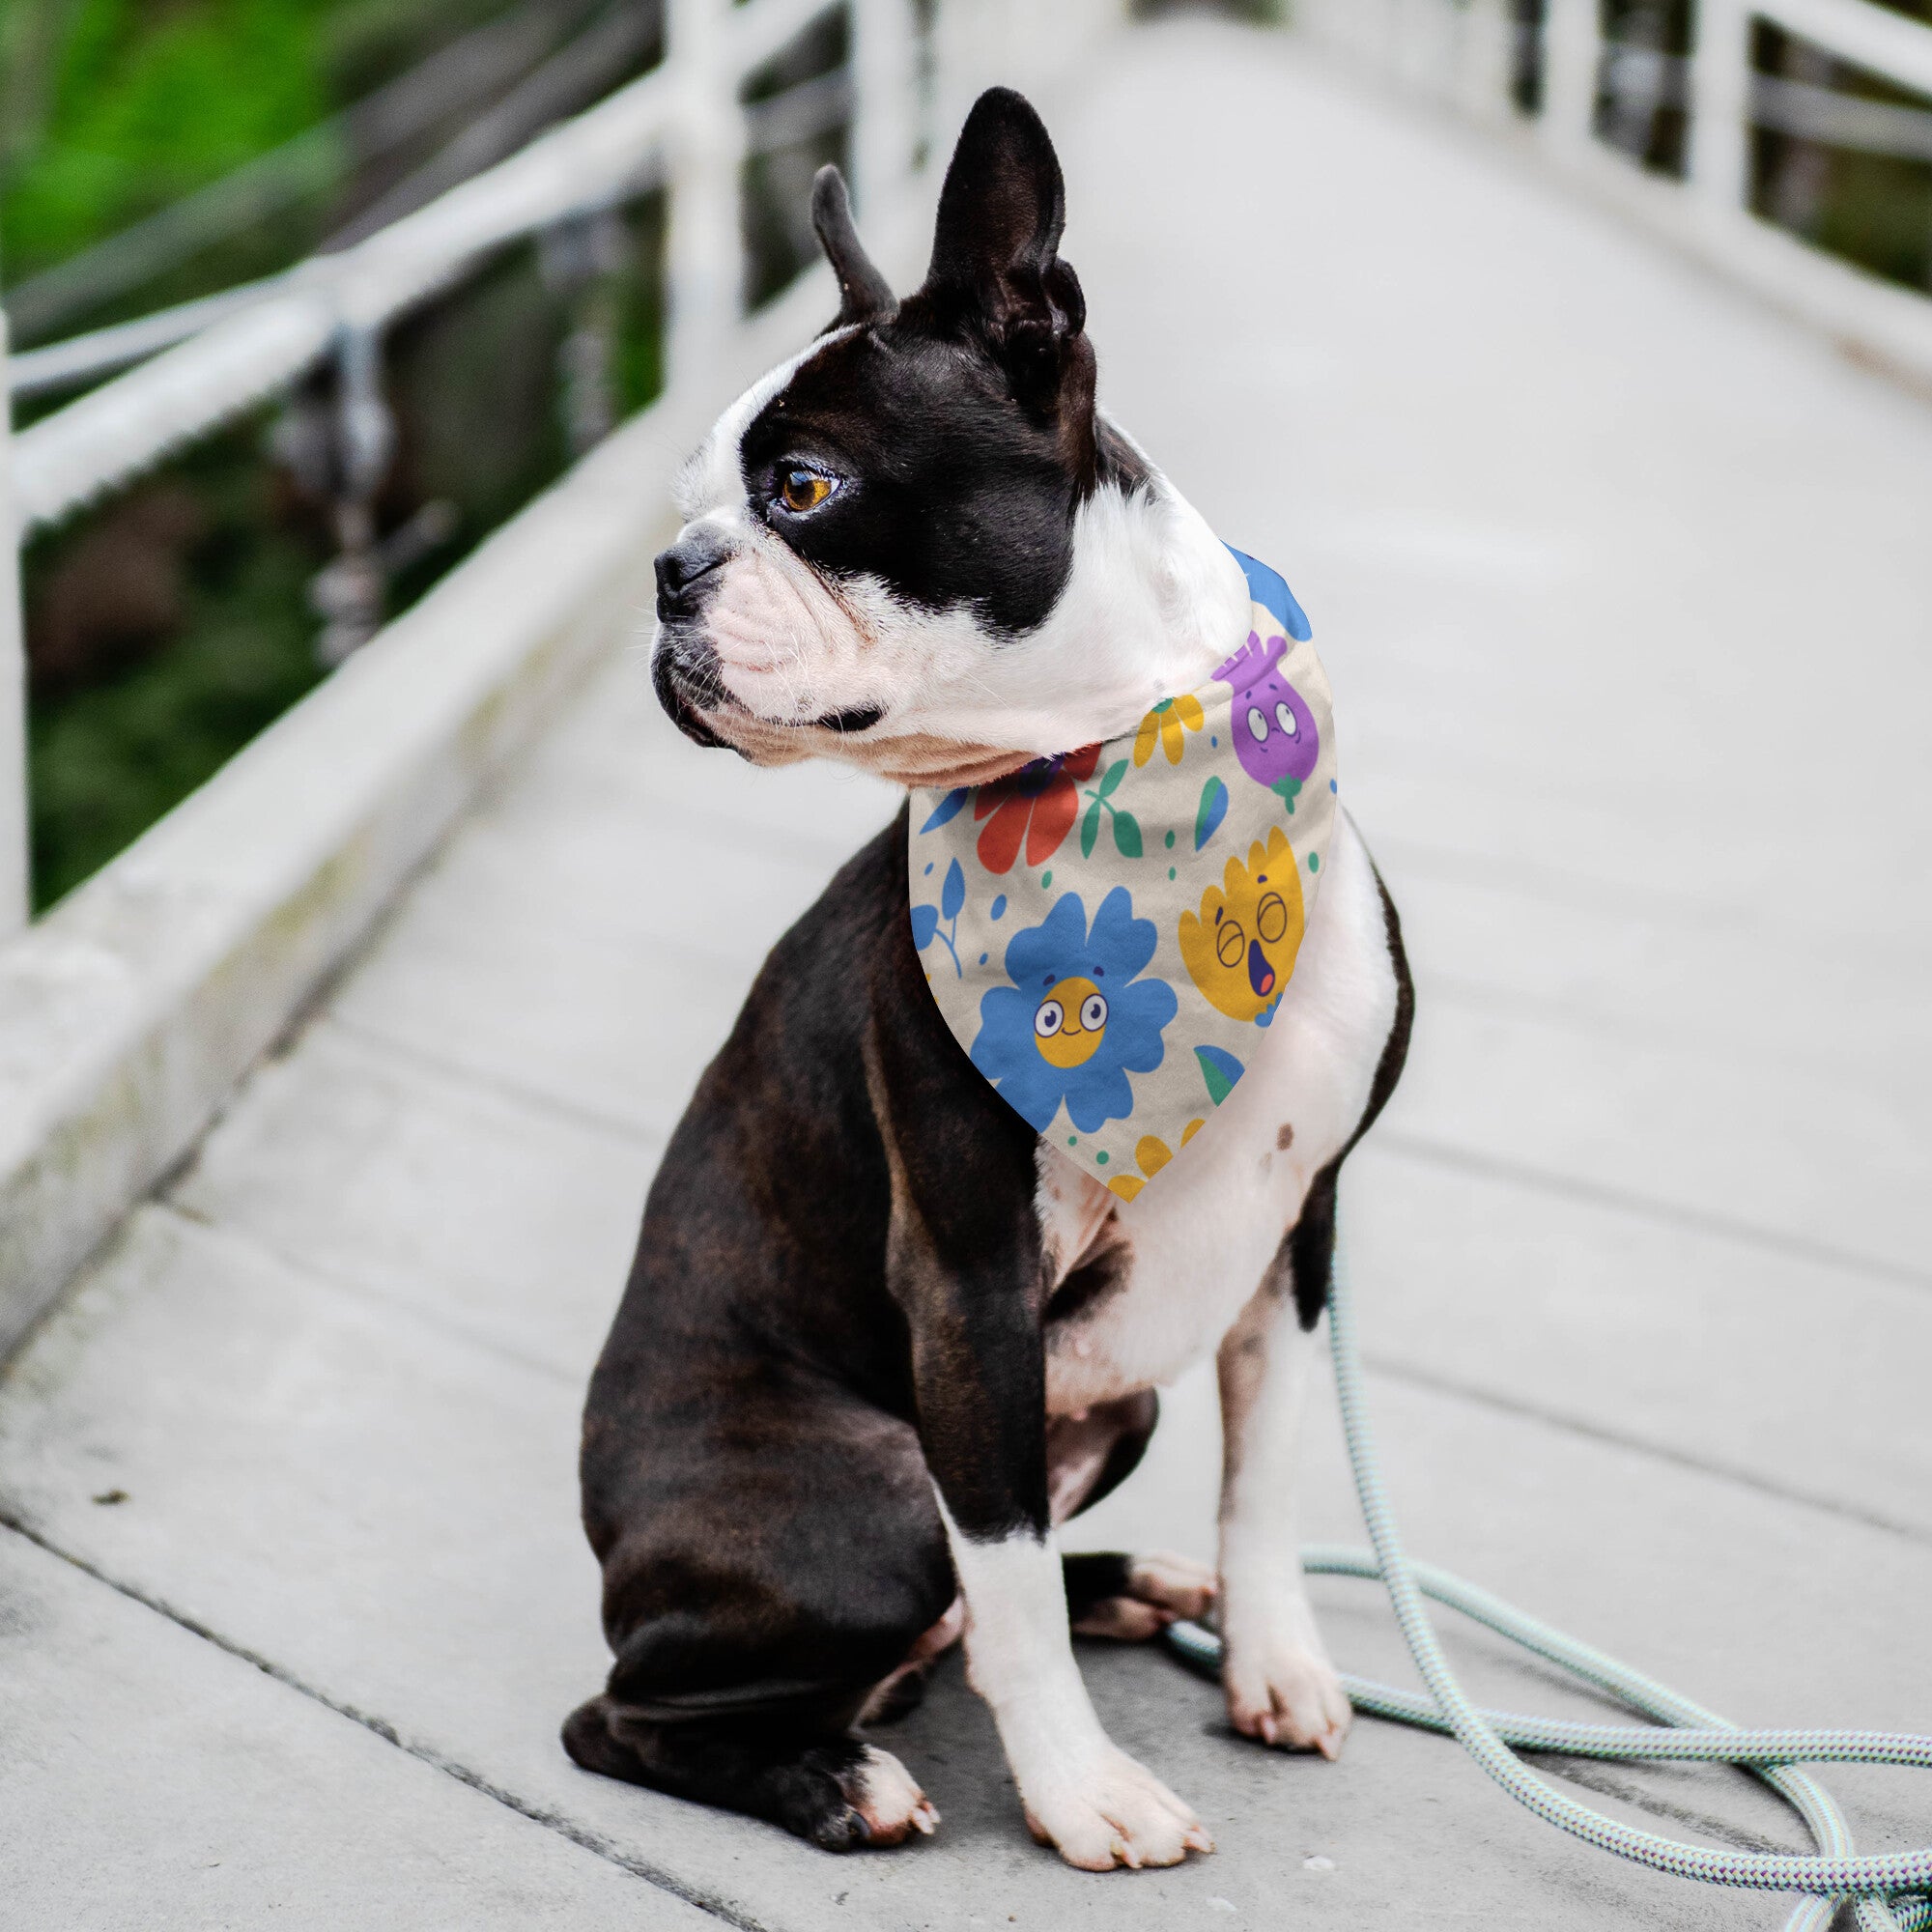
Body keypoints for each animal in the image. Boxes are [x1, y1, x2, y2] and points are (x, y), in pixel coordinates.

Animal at [564, 87, 1414, 1870]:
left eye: (801, 487)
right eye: (698, 500)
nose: (670, 571)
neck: (1115, 774)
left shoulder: (1297, 1240)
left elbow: (1267, 1479)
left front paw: (1275, 1658)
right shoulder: (968, 1283)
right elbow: (1005, 1572)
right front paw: (1083, 1792)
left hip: (1114, 1408)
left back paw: (1135, 1587)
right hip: (875, 1496)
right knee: (641, 1709)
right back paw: (837, 1777)